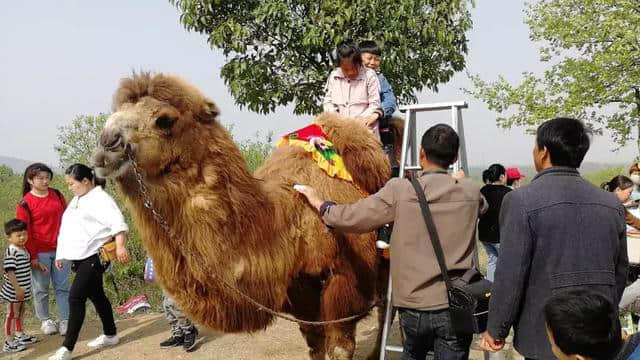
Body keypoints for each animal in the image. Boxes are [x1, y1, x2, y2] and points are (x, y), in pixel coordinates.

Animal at [91, 71, 400, 358]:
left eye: (165, 120)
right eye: (114, 113)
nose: (107, 143)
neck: (289, 214)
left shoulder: (345, 282)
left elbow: (339, 347)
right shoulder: (298, 290)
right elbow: (315, 345)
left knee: (387, 307)